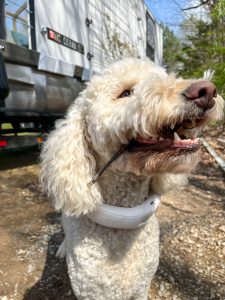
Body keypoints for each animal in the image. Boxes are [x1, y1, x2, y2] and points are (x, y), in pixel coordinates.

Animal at [40, 57, 223, 298]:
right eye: (125, 93)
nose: (206, 91)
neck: (121, 222)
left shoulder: (142, 286)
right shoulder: (89, 291)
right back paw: (63, 248)